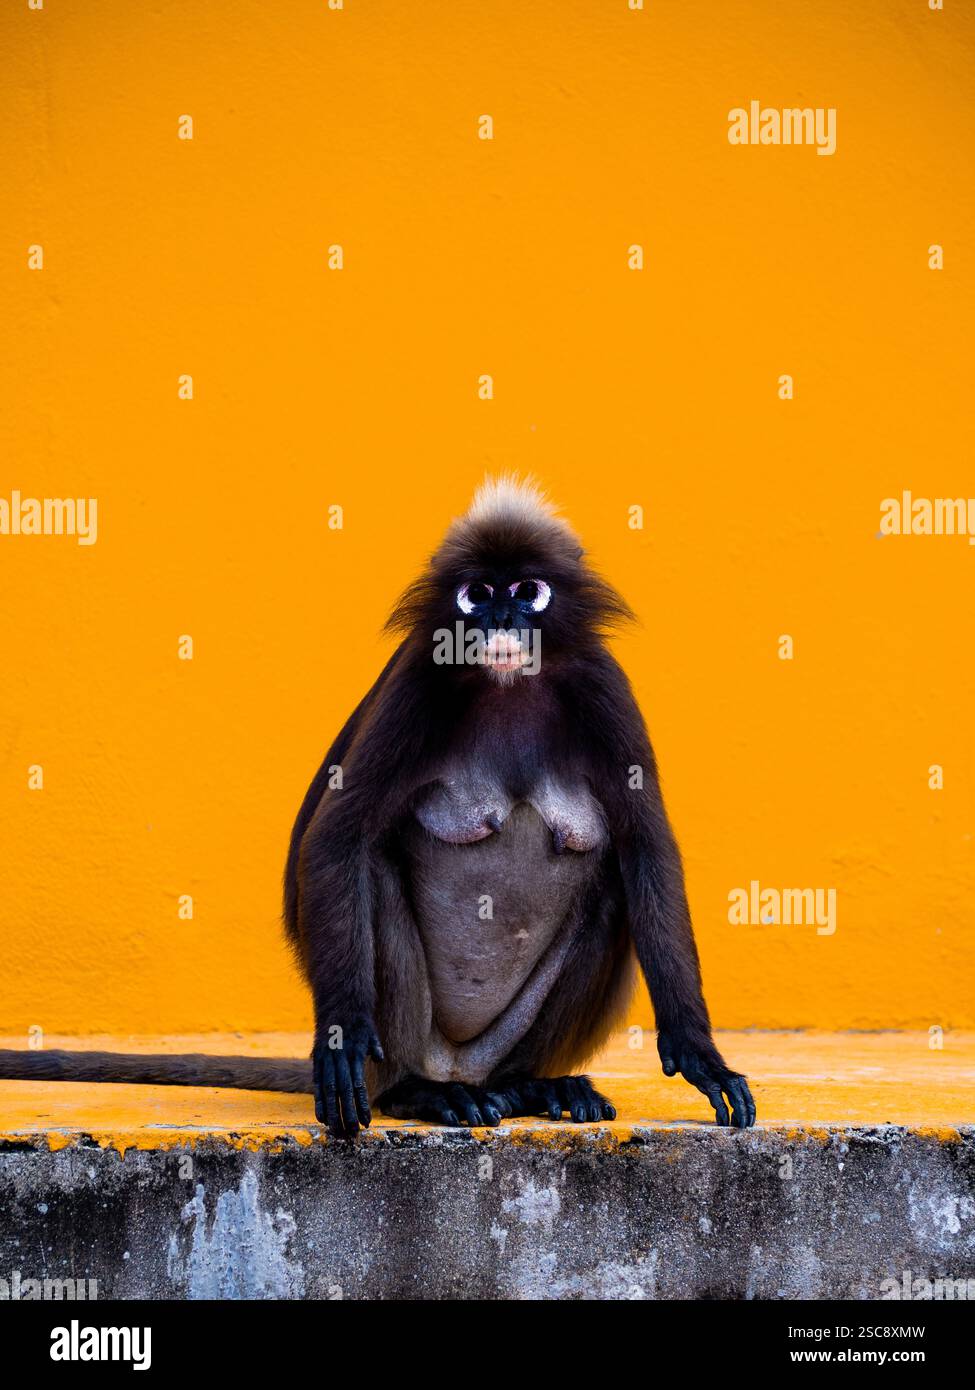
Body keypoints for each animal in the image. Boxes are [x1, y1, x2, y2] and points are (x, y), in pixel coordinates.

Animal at [0, 478, 755, 1138]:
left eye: (527, 592)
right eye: (477, 593)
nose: (501, 618)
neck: (509, 686)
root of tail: (461, 1069)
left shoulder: (606, 690)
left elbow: (646, 853)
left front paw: (700, 1054)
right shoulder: (419, 679)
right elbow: (336, 841)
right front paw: (340, 1039)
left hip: (501, 1045)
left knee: (610, 893)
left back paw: (533, 1084)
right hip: (411, 1046)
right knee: (375, 873)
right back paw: (421, 1094)